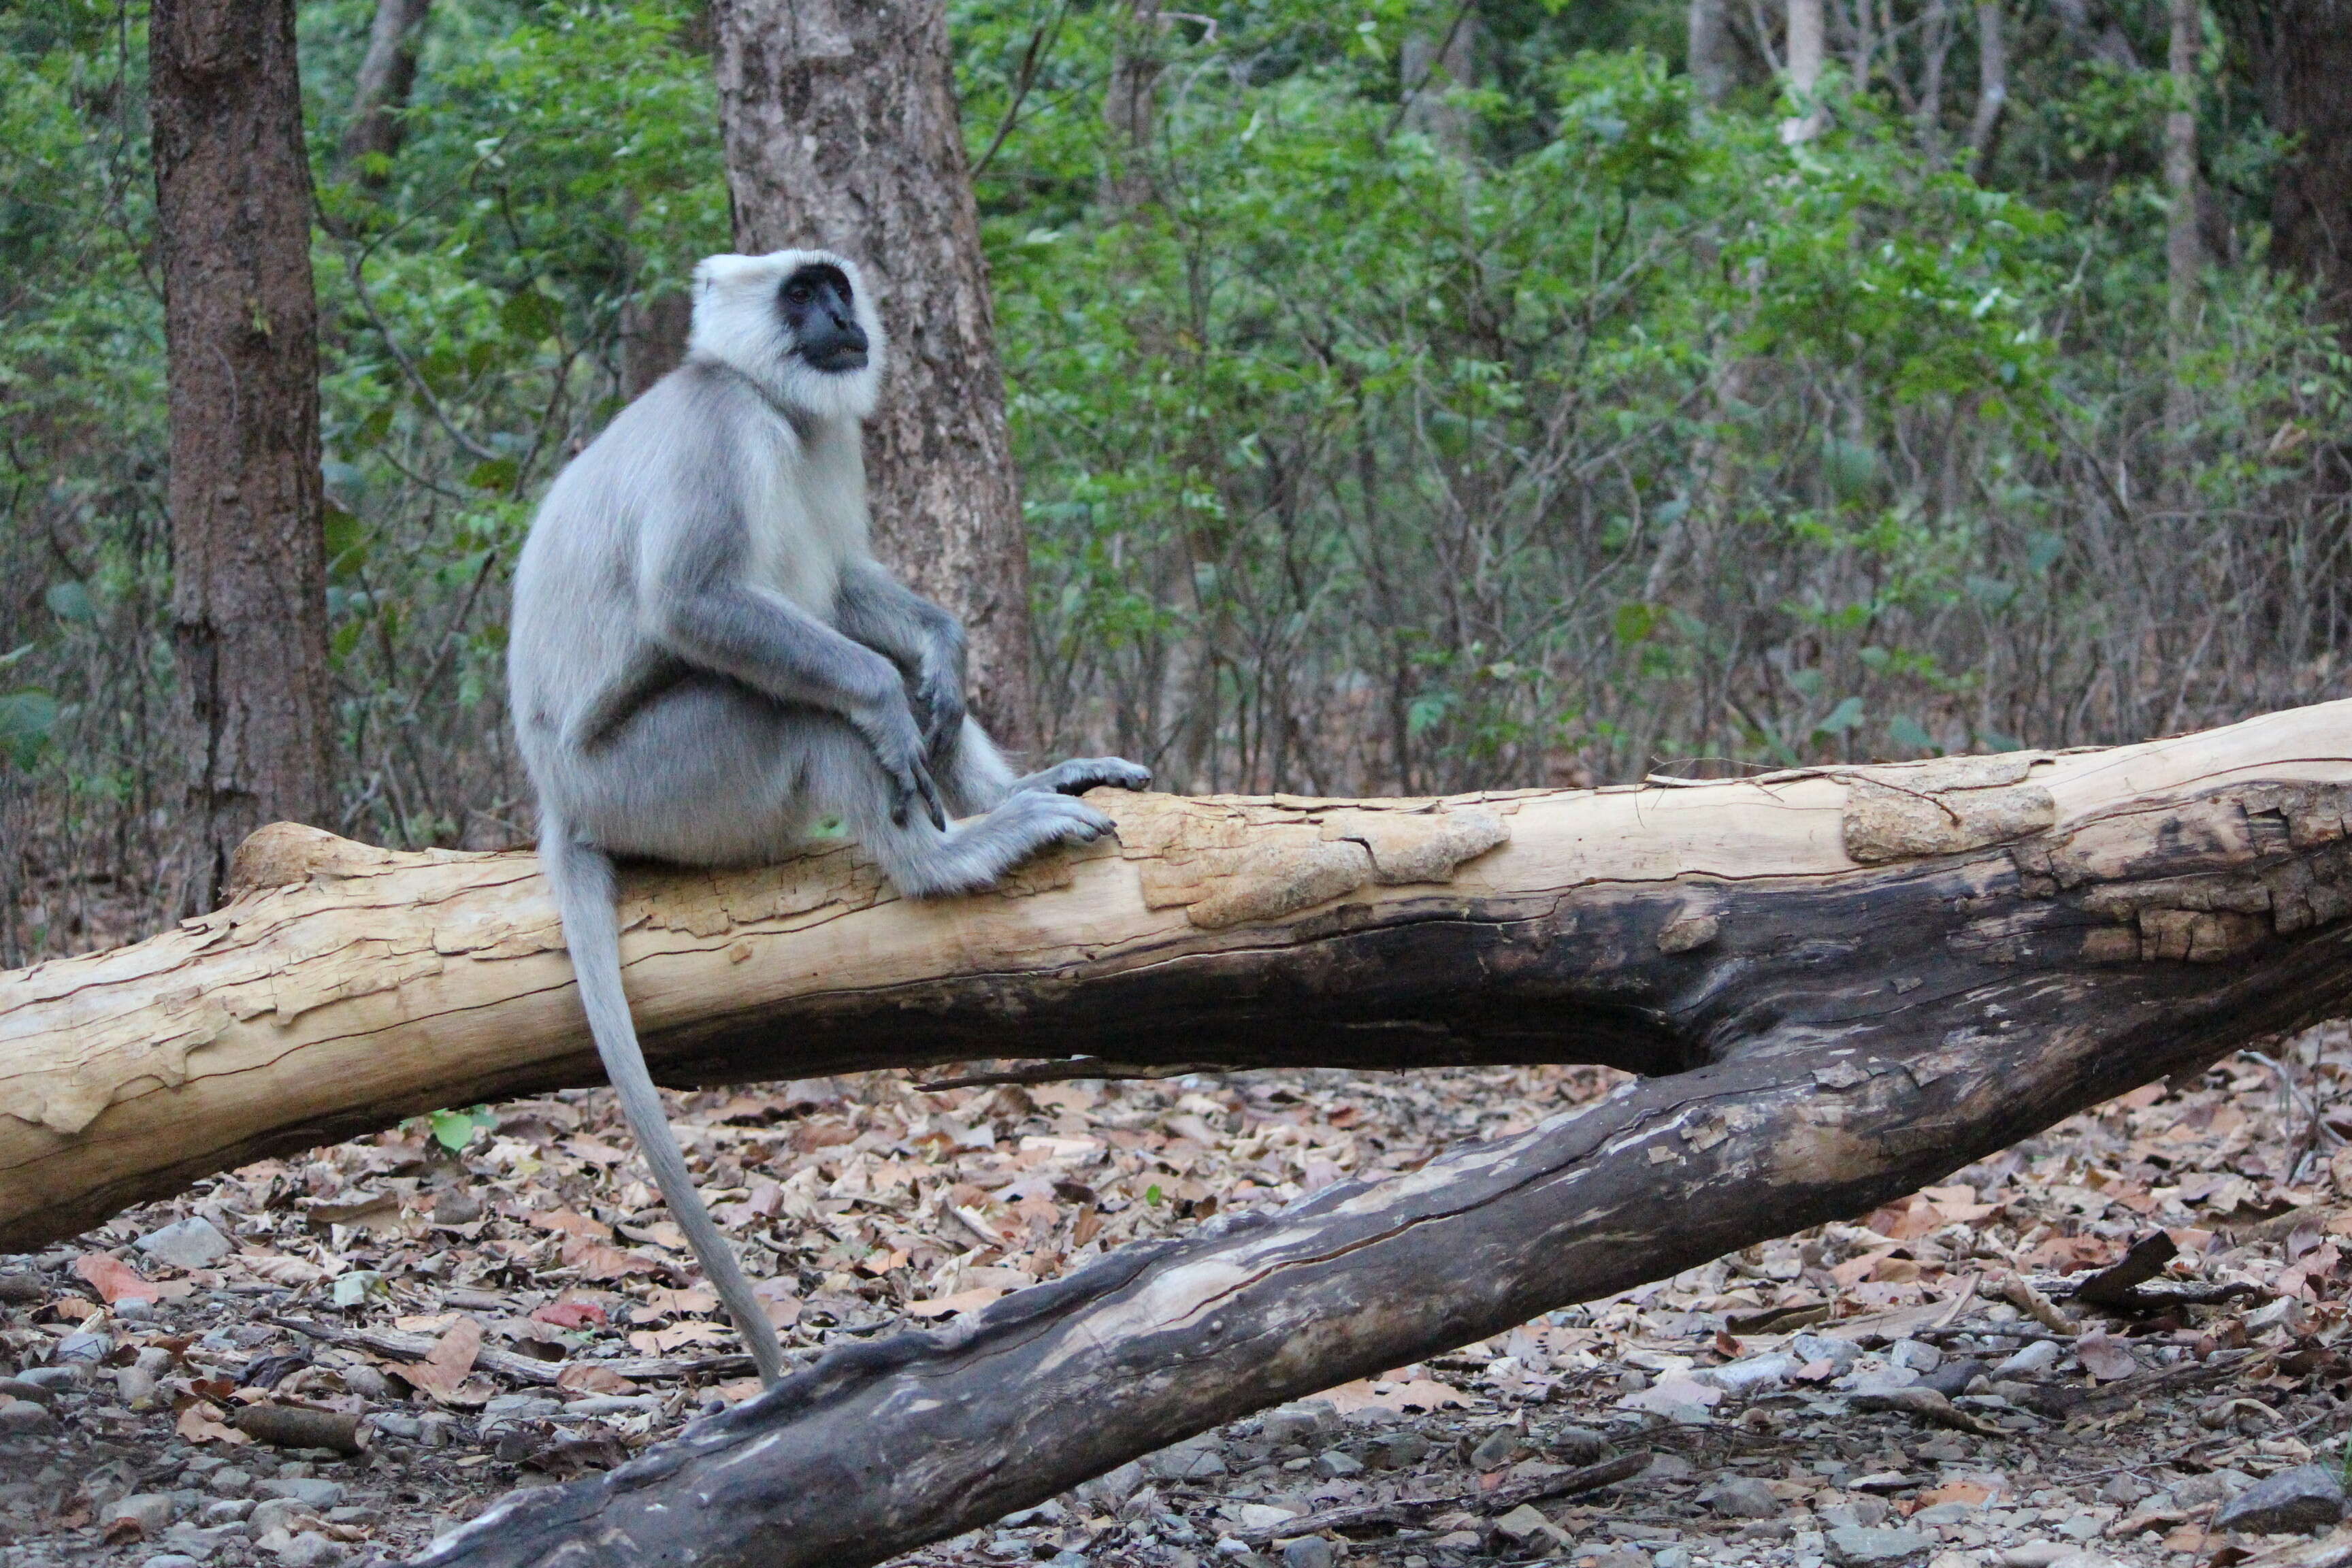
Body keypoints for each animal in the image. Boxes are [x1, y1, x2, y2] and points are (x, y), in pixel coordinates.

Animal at [506, 251, 1147, 1391]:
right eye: (800, 297)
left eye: (839, 290)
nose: (843, 320)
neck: (772, 401)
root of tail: (558, 801)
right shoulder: (724, 428)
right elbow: (697, 602)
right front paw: (892, 708)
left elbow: (863, 598)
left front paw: (944, 654)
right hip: (662, 784)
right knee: (803, 705)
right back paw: (953, 853)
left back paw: (1015, 787)